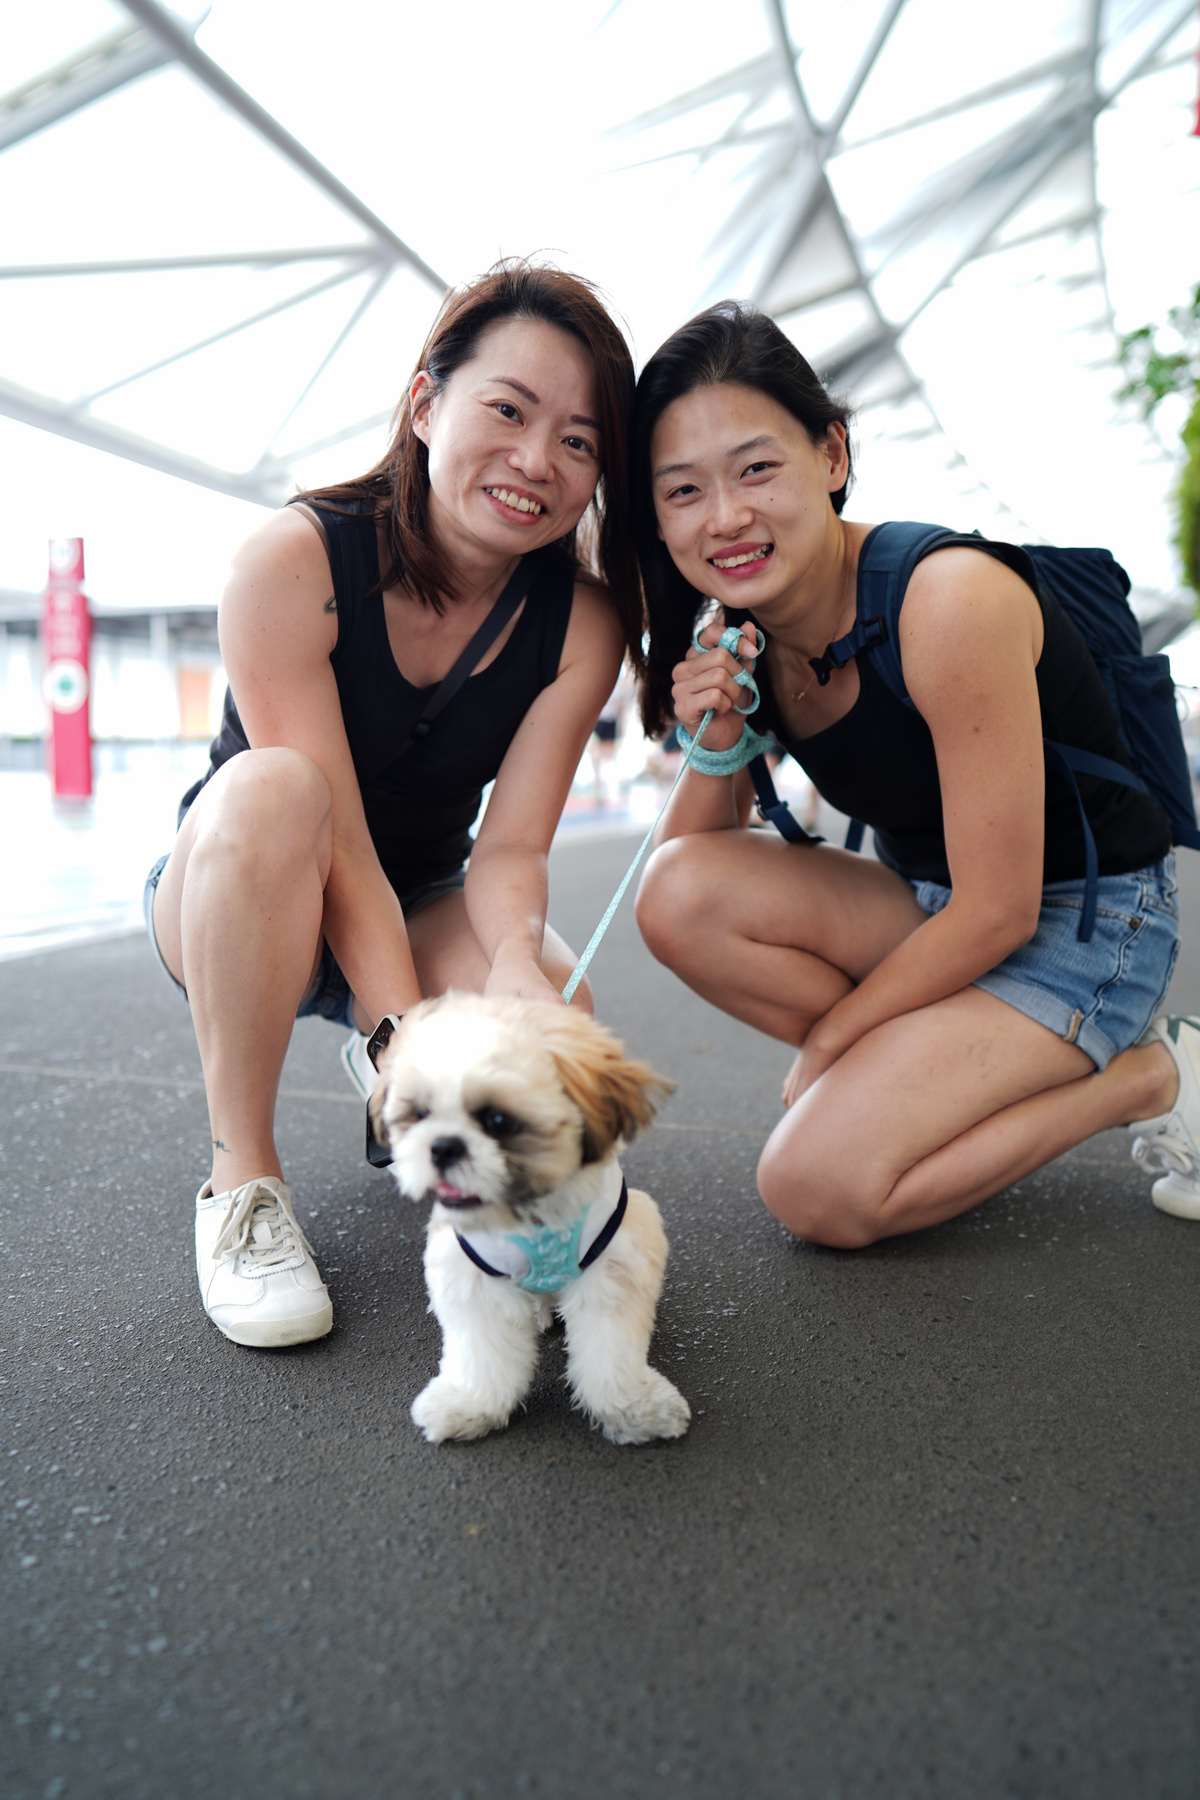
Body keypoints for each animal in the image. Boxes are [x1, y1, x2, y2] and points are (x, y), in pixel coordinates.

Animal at [370, 993, 691, 1446]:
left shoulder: (612, 1269)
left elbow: (612, 1352)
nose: (443, 1146)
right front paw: (472, 1405)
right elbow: (482, 1352)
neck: (530, 1213)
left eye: (498, 1121)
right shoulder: (473, 1278)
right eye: (419, 1114)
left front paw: (632, 1407)